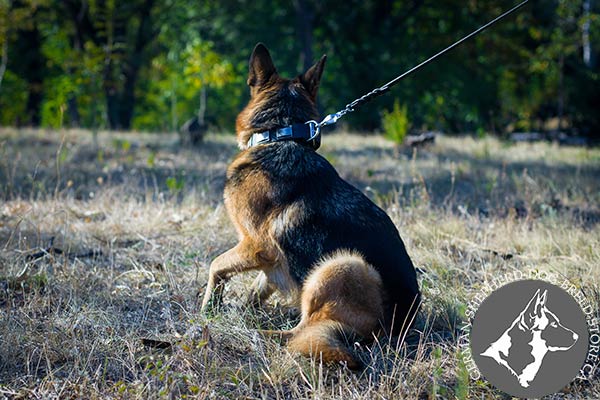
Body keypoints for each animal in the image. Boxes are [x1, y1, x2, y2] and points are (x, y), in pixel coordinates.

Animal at [202, 43, 422, 368]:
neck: (281, 133)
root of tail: (400, 325)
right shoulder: (273, 260)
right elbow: (257, 288)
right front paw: (240, 308)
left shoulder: (255, 245)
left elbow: (216, 265)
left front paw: (209, 306)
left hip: (340, 265)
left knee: (300, 332)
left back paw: (256, 334)